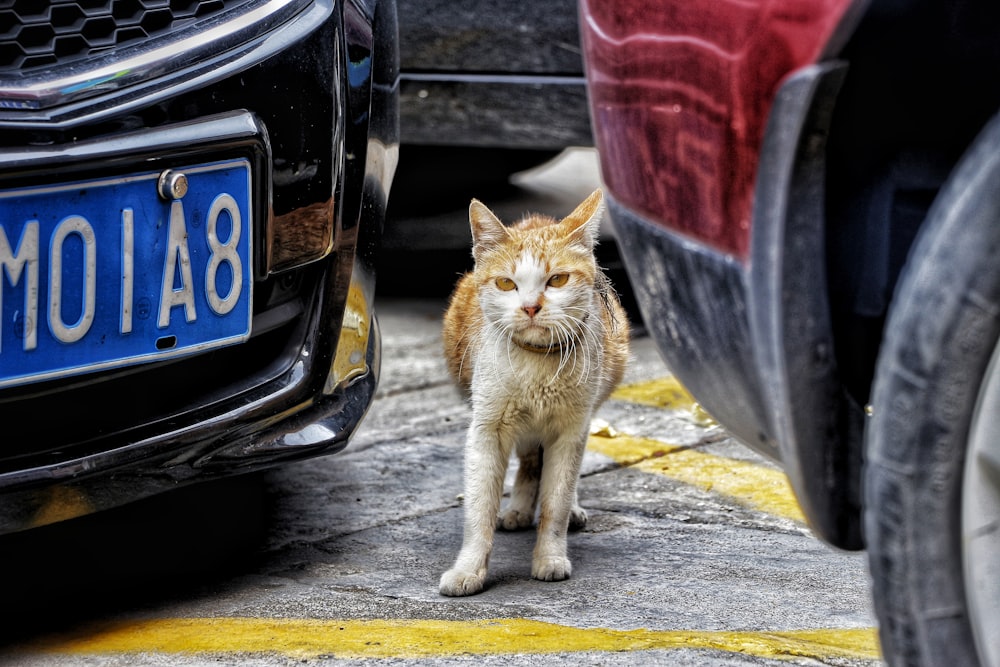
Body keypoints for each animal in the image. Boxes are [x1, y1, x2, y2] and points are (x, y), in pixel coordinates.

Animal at [438, 189, 624, 600]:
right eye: (507, 284)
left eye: (558, 280)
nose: (530, 307)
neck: (538, 364)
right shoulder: (486, 430)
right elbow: (480, 507)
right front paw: (469, 569)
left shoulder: (571, 430)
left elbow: (556, 501)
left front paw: (550, 556)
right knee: (528, 460)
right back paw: (520, 508)